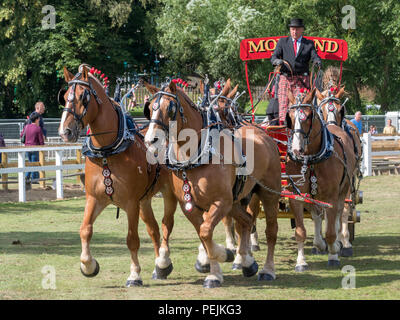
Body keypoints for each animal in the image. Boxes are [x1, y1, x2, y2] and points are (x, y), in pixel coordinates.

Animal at [57, 65, 177, 288]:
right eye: (65, 95)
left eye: (83, 97)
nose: (65, 132)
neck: (107, 151)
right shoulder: (94, 199)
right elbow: (85, 229)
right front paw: (89, 266)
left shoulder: (130, 203)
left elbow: (132, 239)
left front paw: (134, 275)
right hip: (144, 201)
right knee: (154, 230)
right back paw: (159, 267)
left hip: (168, 194)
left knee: (167, 225)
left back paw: (163, 262)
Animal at [144, 80, 282, 288]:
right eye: (150, 107)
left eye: (171, 108)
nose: (151, 140)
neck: (196, 156)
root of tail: (263, 134)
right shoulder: (190, 206)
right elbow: (204, 234)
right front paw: (214, 268)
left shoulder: (221, 202)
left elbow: (206, 231)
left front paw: (221, 259)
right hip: (235, 201)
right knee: (246, 221)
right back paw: (246, 262)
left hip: (268, 194)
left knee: (271, 230)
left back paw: (267, 270)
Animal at [286, 87, 354, 270]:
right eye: (290, 117)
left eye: (309, 116)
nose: (296, 149)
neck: (311, 160)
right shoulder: (296, 196)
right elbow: (300, 231)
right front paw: (301, 261)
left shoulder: (331, 196)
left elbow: (330, 231)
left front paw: (333, 254)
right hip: (313, 195)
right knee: (317, 215)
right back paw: (319, 243)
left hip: (344, 190)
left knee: (339, 214)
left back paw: (339, 243)